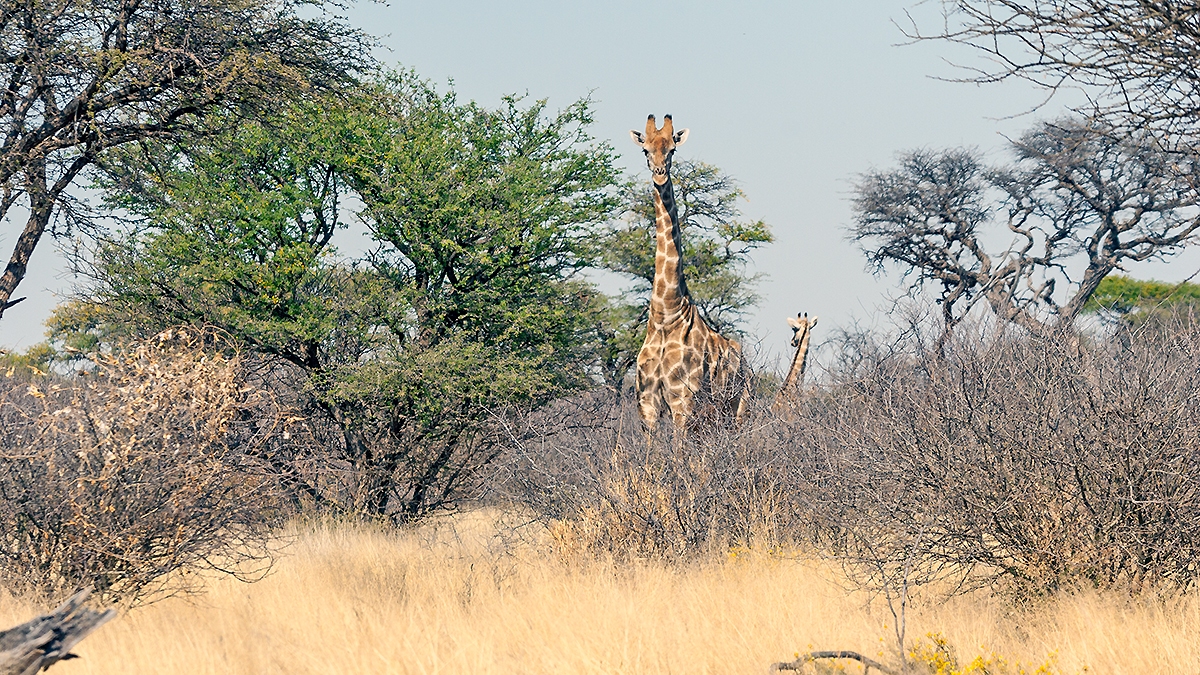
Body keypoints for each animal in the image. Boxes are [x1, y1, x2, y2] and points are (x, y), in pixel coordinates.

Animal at [629, 114, 750, 430]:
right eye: (645, 150)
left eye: (672, 150)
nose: (659, 175)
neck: (664, 315)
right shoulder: (647, 405)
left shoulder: (683, 402)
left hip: (739, 408)